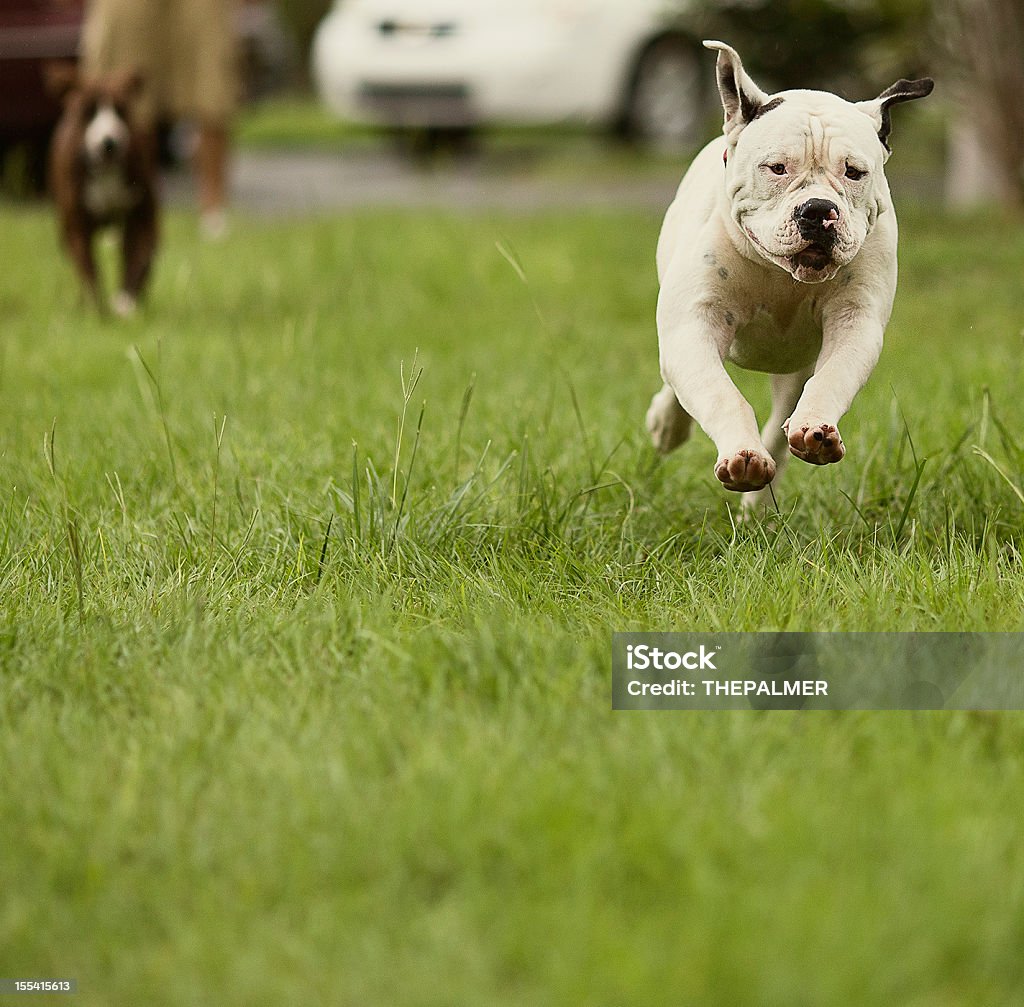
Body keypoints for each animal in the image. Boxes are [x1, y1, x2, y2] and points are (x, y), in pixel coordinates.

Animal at [46, 68, 157, 313]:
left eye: (121, 109)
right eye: (88, 111)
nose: (109, 142)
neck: (106, 170)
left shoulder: (141, 215)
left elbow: (139, 257)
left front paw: (125, 303)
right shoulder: (78, 223)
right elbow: (87, 266)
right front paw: (95, 308)